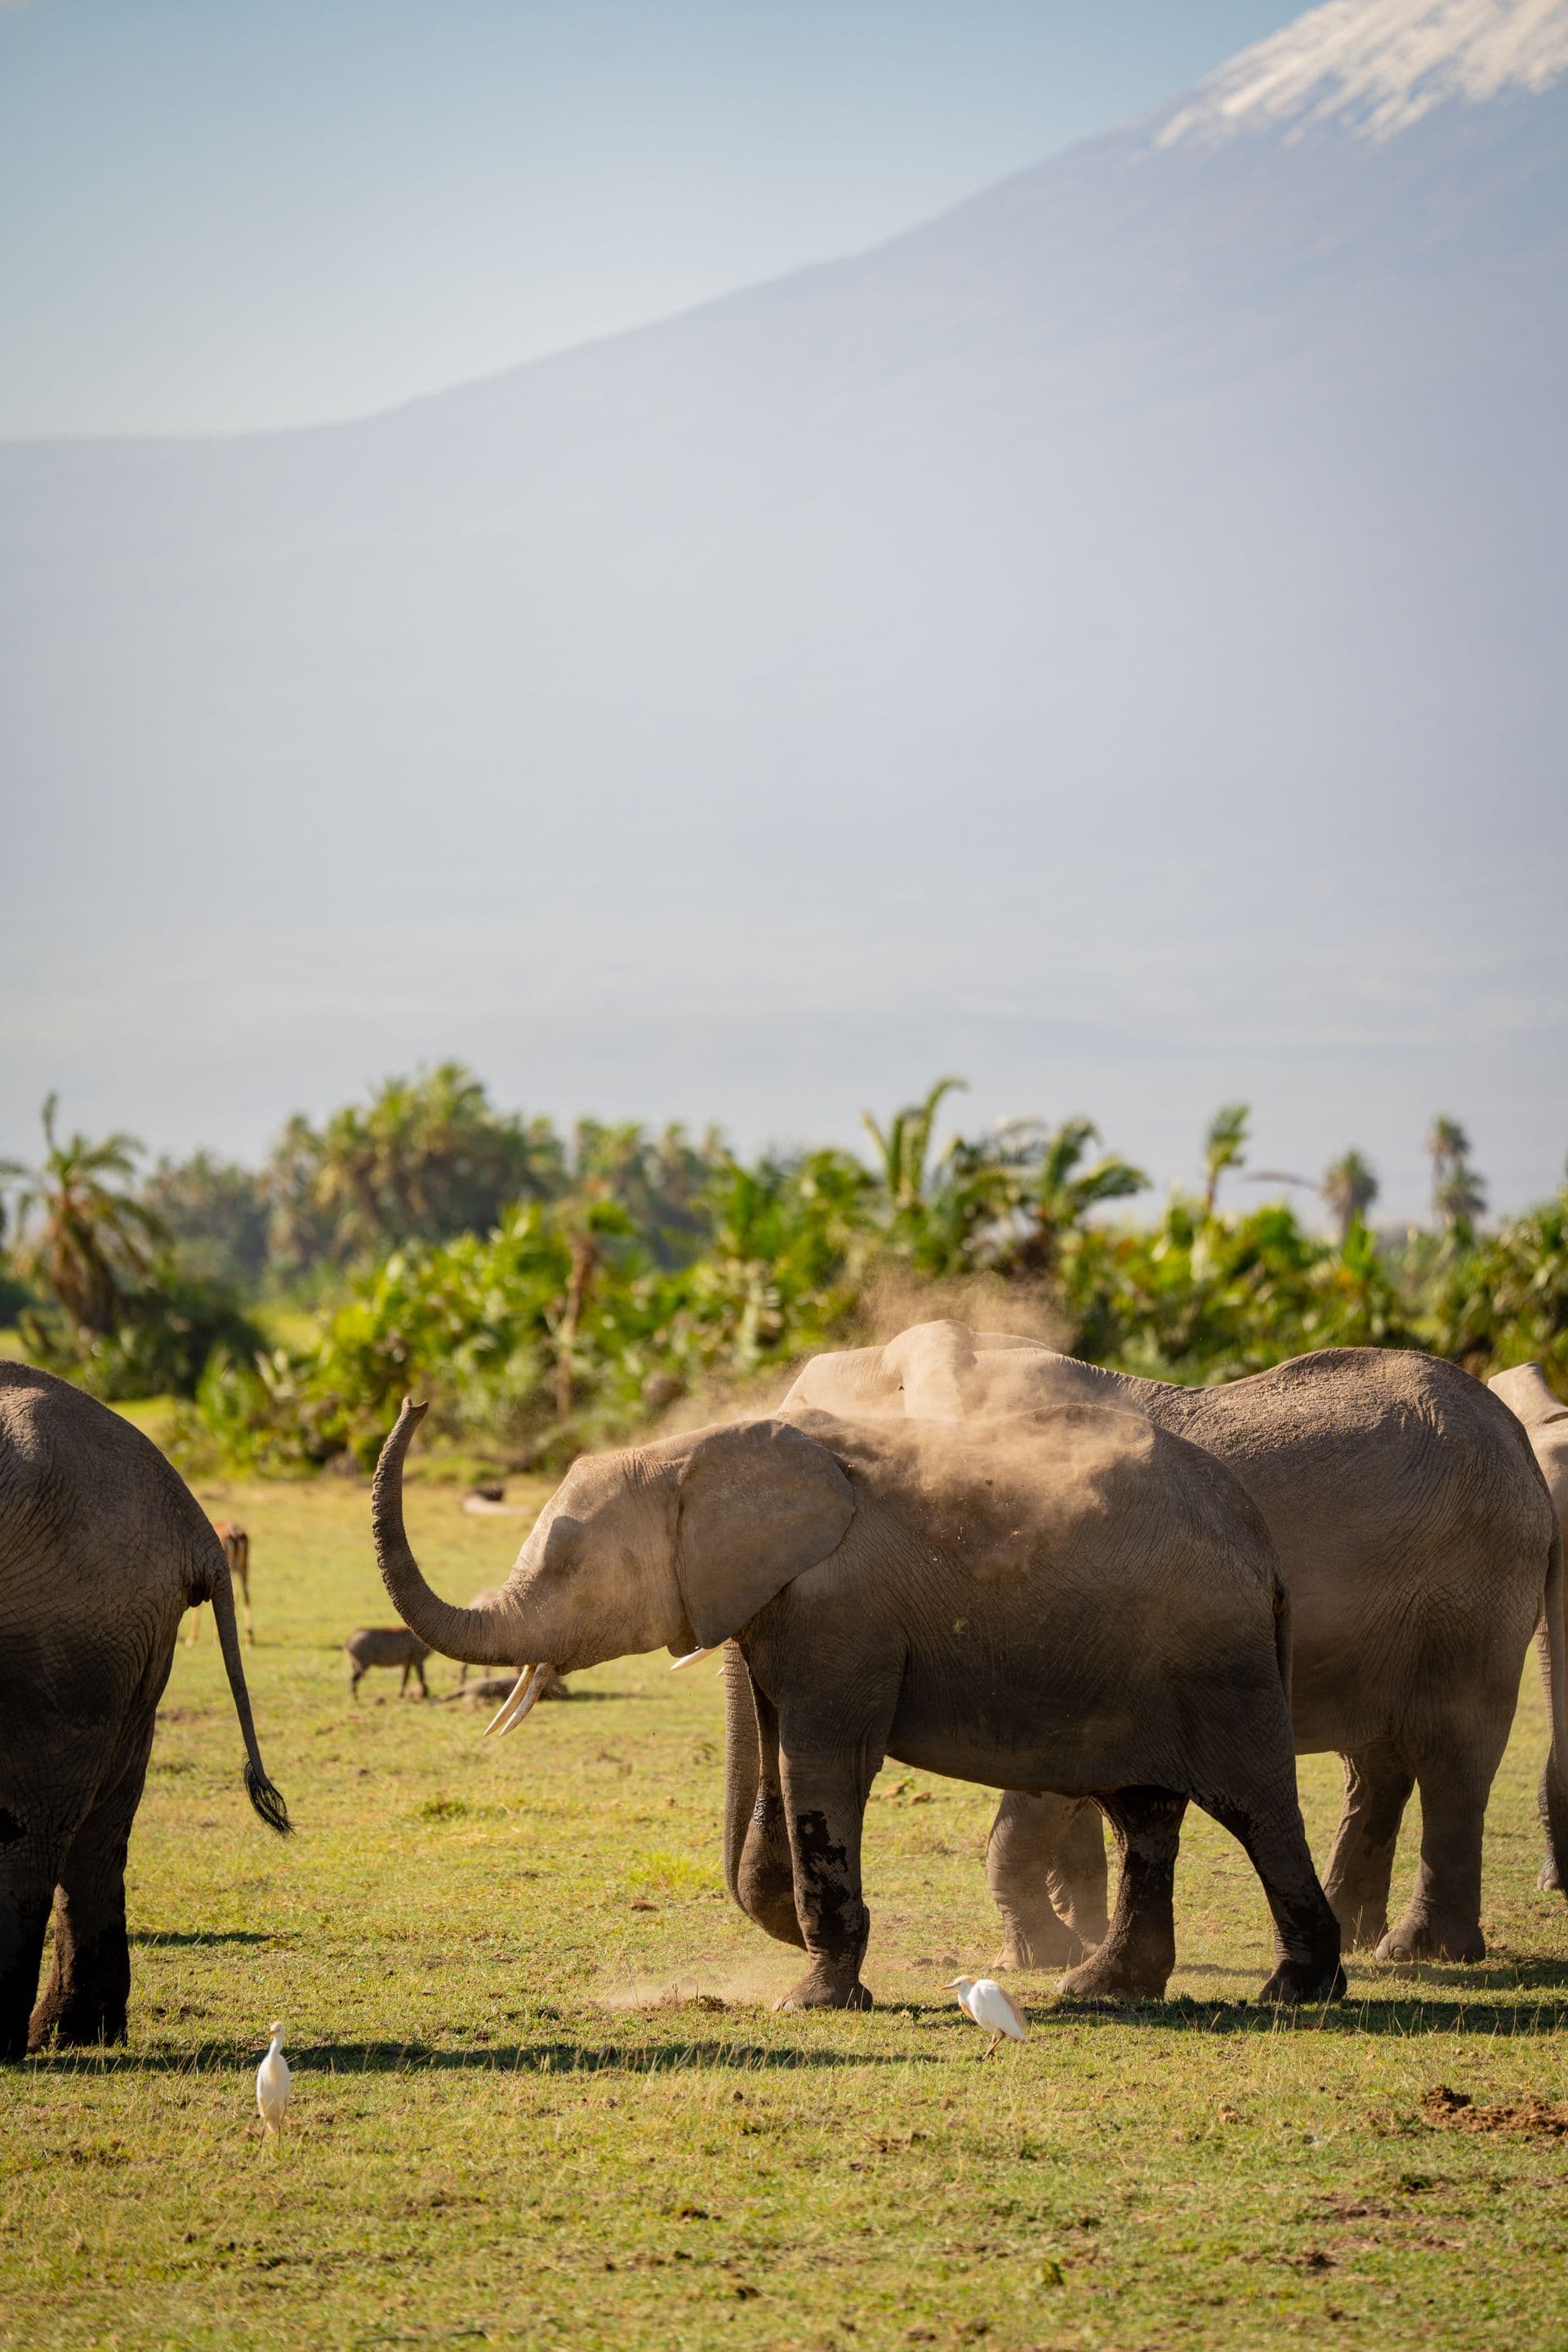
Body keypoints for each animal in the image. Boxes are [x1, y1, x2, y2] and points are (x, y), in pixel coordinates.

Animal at [0, 1362, 289, 2059]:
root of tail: (192, 1521)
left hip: (63, 1626)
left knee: (30, 1826)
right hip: (122, 1630)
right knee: (101, 1824)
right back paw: (78, 2034)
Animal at [373, 1394, 1345, 2010]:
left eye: (570, 1559)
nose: (417, 1400)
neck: (697, 1447)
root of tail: (1262, 1546)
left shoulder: (840, 1618)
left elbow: (819, 1766)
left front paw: (811, 2001)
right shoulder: (785, 1617)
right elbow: (782, 1764)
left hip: (1218, 1659)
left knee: (1256, 1808)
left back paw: (1297, 1993)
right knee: (1144, 1816)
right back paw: (1104, 1991)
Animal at [773, 1323, 1565, 1970]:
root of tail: (1518, 1440)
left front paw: (1044, 1958)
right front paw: (1081, 1941)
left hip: (1475, 1592)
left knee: (1454, 1753)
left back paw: (1420, 1951)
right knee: (1378, 1763)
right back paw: (1358, 1934)